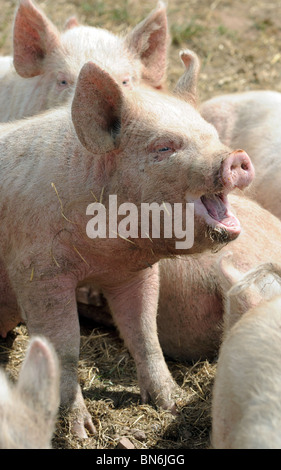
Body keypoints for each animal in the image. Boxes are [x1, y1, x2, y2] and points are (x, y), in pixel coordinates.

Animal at [0, 51, 253, 436]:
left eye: (213, 135)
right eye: (164, 147)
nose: (236, 157)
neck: (101, 257)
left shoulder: (135, 272)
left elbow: (145, 333)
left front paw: (174, 405)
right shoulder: (37, 272)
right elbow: (64, 346)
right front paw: (81, 431)